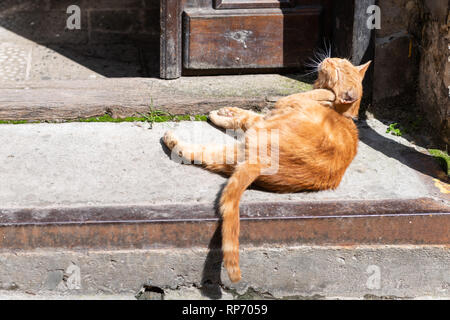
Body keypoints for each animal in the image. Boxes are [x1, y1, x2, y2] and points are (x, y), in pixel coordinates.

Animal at [163, 57, 370, 282]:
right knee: (200, 154)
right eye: (341, 61)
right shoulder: (269, 113)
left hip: (250, 139)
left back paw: (171, 138)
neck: (344, 114)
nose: (329, 59)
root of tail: (263, 163)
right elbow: (245, 113)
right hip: (233, 155)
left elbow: (245, 117)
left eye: (338, 68)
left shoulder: (280, 107)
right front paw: (227, 110)